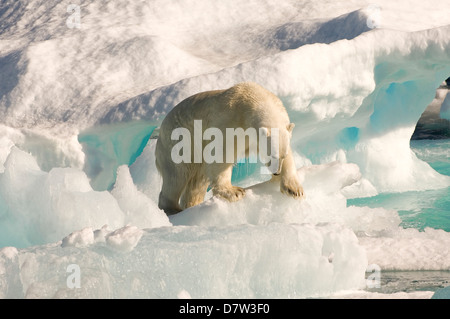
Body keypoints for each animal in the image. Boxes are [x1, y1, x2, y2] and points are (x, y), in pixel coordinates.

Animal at [155, 82, 302, 216]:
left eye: (281, 156)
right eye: (271, 155)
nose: (276, 172)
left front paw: (294, 189)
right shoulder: (230, 122)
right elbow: (220, 154)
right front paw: (234, 192)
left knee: (197, 181)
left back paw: (192, 204)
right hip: (179, 142)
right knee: (177, 175)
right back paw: (172, 209)